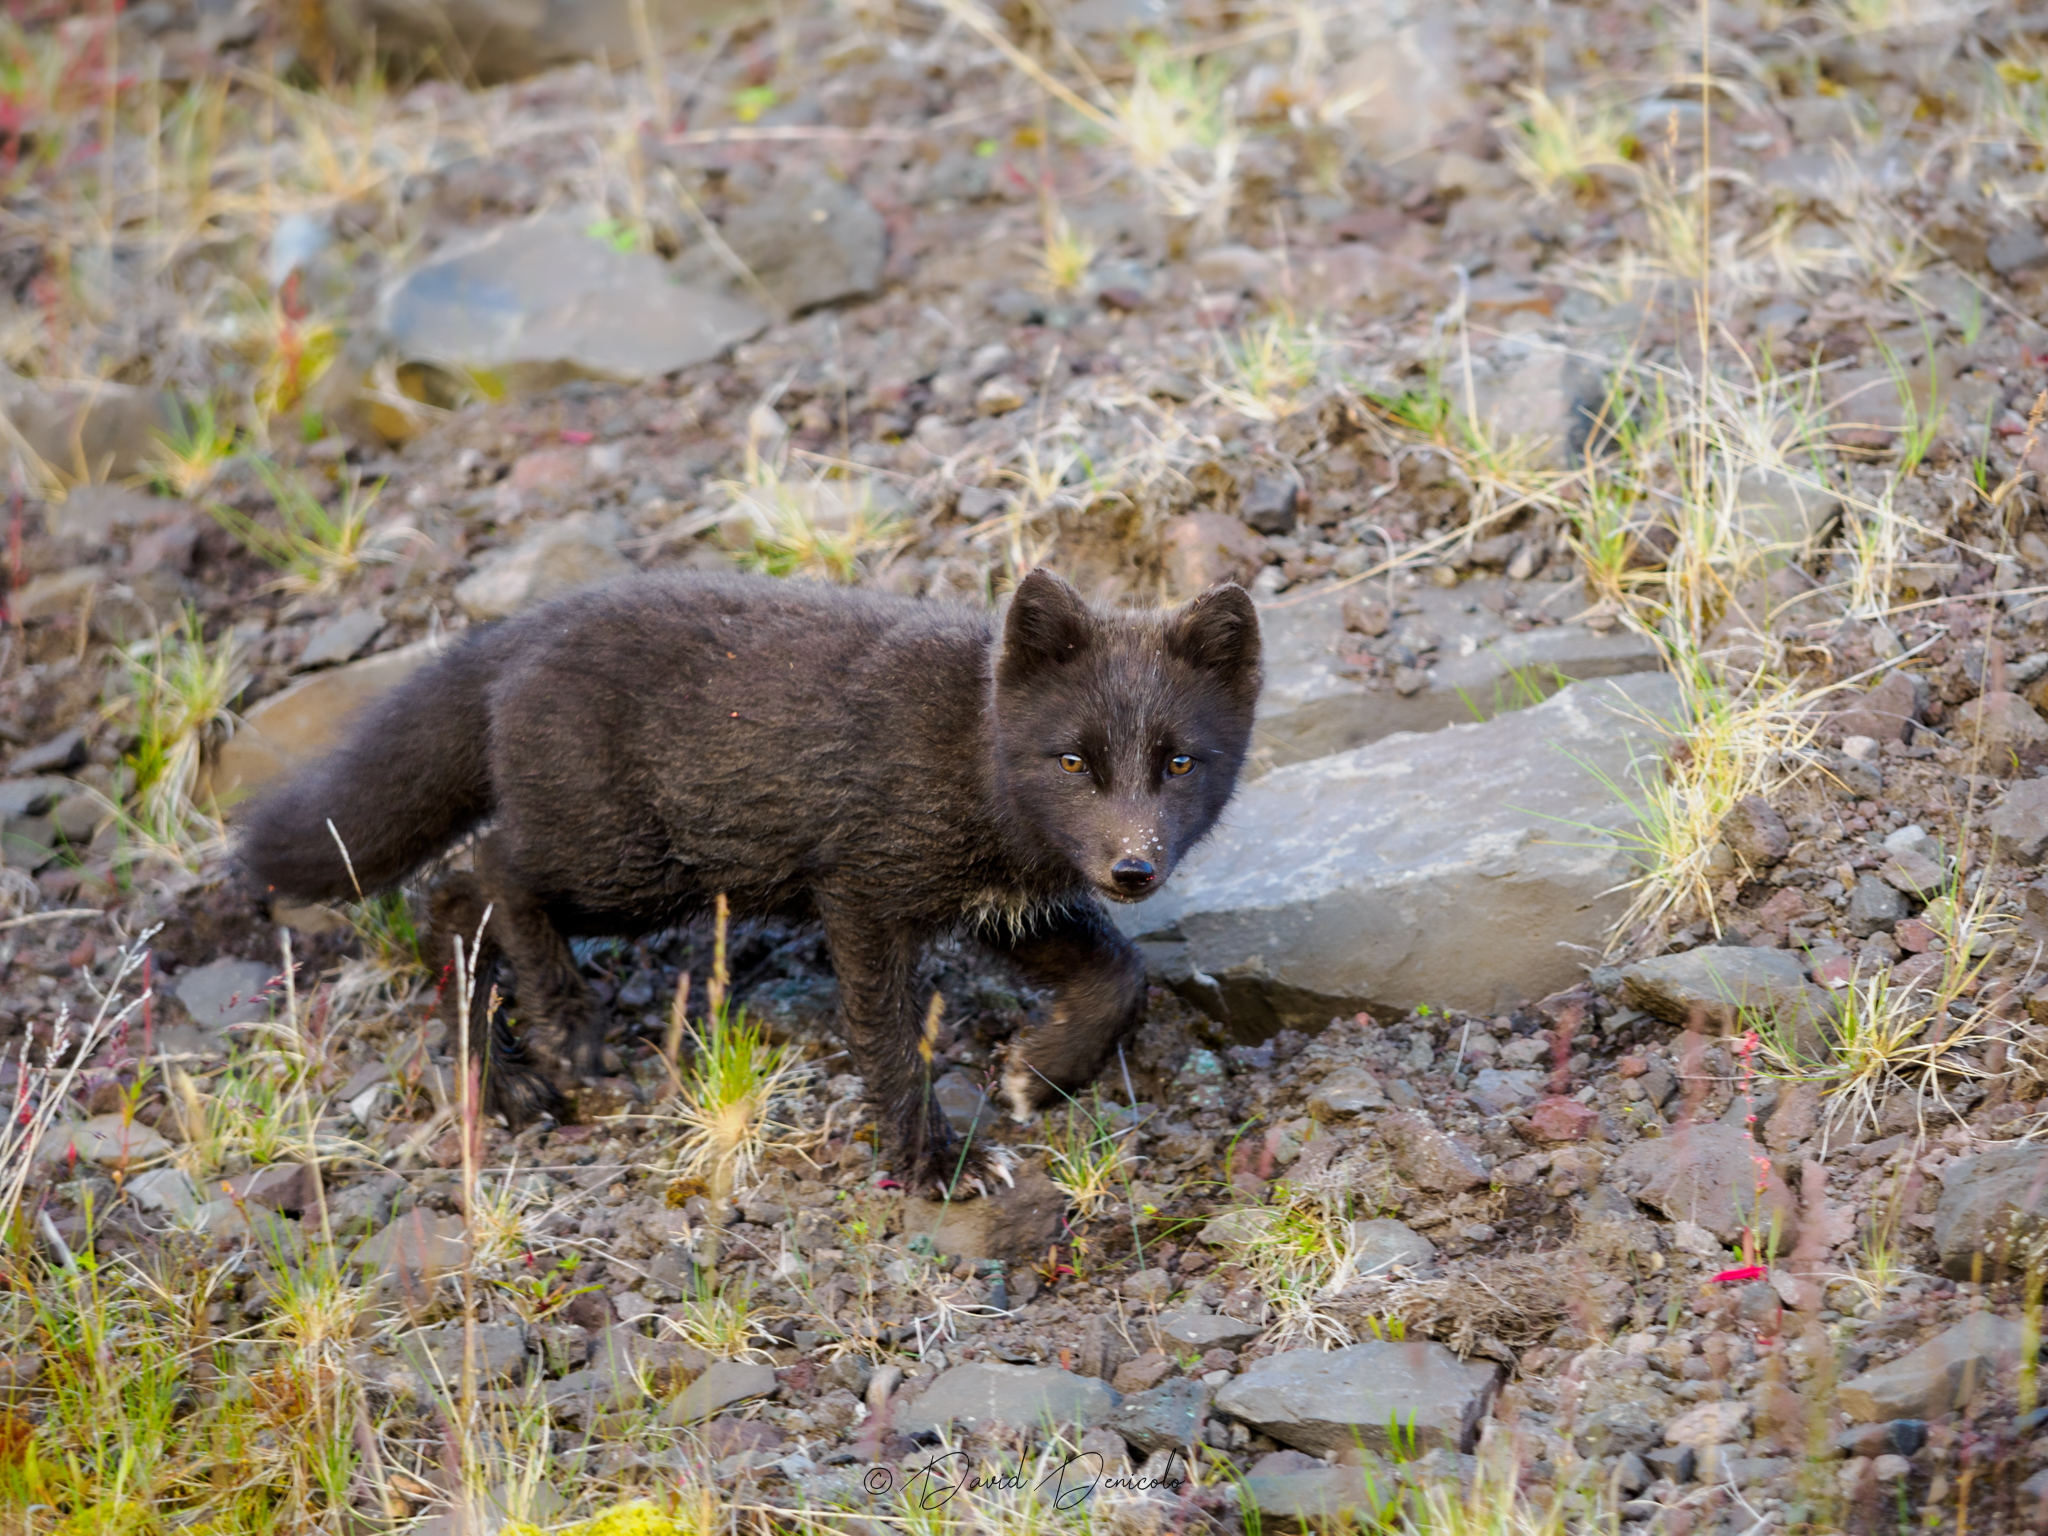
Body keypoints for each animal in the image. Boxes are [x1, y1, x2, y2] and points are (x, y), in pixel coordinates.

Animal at [239, 567, 1261, 1195]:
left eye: (1179, 763)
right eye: (1074, 761)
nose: (1133, 866)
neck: (973, 760)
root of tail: (524, 629)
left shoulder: (1002, 904)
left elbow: (1119, 974)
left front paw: (1037, 1074)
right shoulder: (862, 886)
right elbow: (891, 1040)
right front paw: (936, 1165)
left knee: (451, 903)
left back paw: (506, 1081)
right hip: (633, 865)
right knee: (479, 875)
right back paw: (563, 1034)